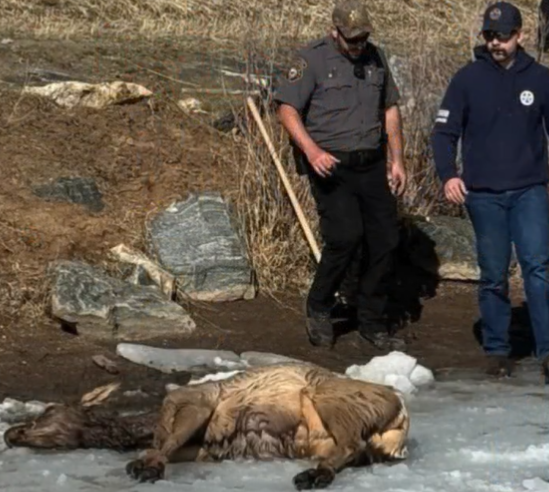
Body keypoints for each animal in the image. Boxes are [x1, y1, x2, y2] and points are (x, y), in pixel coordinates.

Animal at [126, 362, 408, 488]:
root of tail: (402, 413)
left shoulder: (199, 403)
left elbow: (169, 442)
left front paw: (147, 465)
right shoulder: (203, 447)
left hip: (328, 395)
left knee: (352, 443)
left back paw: (314, 475)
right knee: (352, 450)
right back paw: (318, 474)